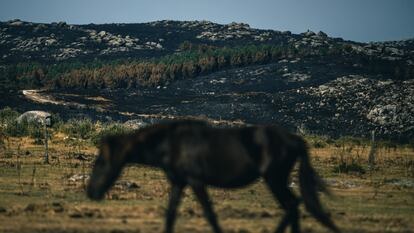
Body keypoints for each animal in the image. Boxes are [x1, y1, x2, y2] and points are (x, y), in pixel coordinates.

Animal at [87, 120, 340, 233]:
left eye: (100, 162)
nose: (91, 192)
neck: (171, 143)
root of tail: (296, 140)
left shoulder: (196, 182)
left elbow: (210, 215)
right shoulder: (179, 182)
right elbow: (170, 216)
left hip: (274, 179)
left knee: (291, 205)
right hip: (276, 180)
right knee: (293, 206)